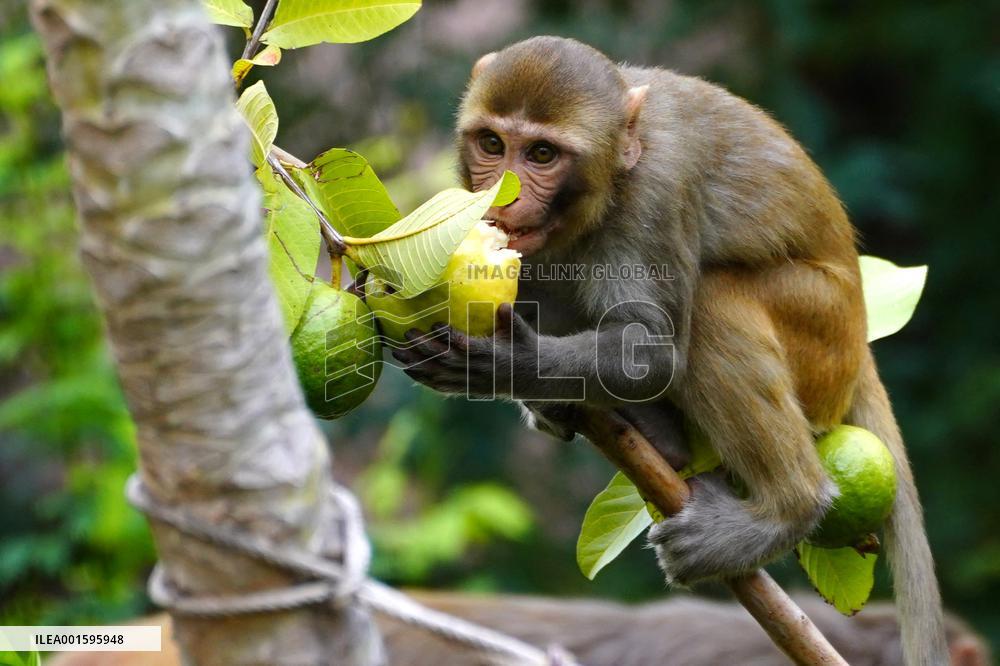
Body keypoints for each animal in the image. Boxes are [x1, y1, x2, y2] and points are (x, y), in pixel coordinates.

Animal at [386, 36, 946, 664]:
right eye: (491, 144)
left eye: (542, 154)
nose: (502, 196)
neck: (620, 163)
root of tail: (859, 340)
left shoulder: (657, 190)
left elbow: (651, 354)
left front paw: (509, 368)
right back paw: (649, 434)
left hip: (822, 334)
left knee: (713, 306)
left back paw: (786, 509)